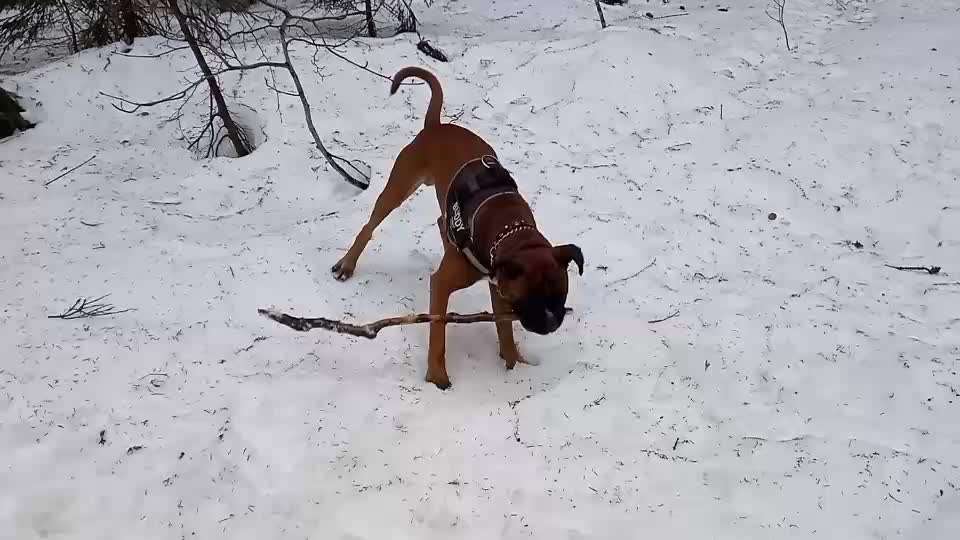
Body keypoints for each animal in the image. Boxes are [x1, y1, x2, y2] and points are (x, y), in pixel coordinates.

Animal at [330, 66, 584, 388]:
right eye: (532, 300)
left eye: (561, 295)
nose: (552, 321)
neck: (511, 230)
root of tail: (436, 126)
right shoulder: (443, 286)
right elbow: (438, 332)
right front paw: (438, 377)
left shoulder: (500, 287)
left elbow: (505, 331)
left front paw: (514, 364)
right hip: (400, 184)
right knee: (369, 226)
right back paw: (347, 264)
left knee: (441, 222)